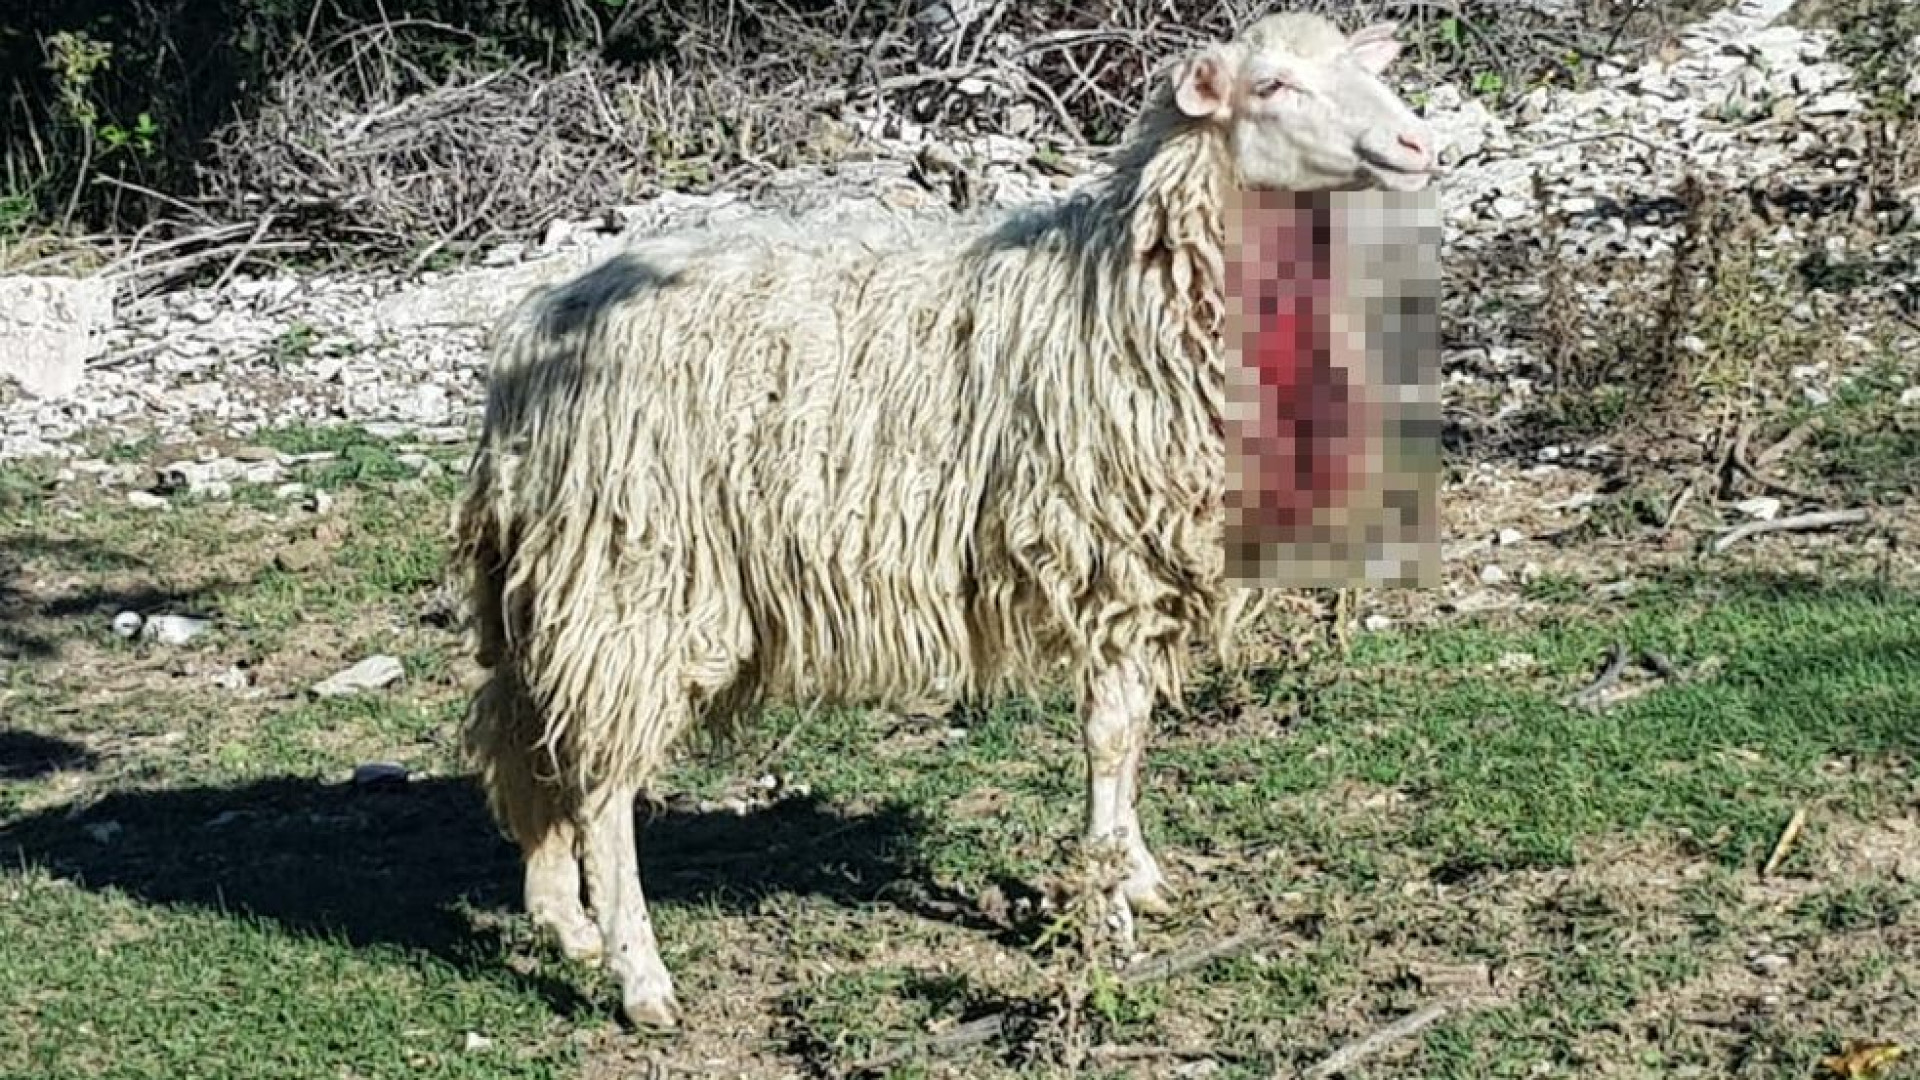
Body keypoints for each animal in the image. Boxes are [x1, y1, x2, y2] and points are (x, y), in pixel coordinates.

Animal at [453, 10, 1439, 1030]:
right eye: (1272, 85)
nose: (1419, 146)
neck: (1123, 290)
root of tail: (529, 334)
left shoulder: (1151, 568)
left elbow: (1133, 734)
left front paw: (1136, 874)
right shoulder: (1108, 554)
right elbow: (1110, 733)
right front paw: (1109, 906)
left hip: (557, 578)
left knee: (526, 734)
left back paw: (563, 920)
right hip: (637, 573)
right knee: (603, 780)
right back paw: (639, 974)